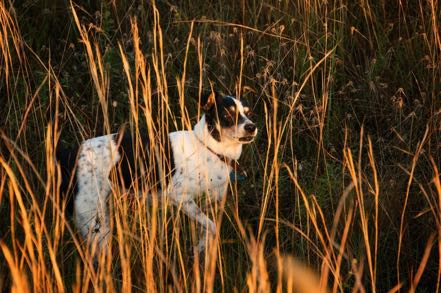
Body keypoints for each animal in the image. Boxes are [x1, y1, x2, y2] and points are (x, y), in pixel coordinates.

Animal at [58, 91, 258, 256]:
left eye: (249, 114)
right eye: (227, 115)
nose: (252, 127)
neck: (208, 148)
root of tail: (72, 153)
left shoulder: (210, 202)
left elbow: (208, 230)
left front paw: (199, 250)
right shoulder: (180, 197)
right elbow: (212, 226)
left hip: (102, 219)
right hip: (89, 217)